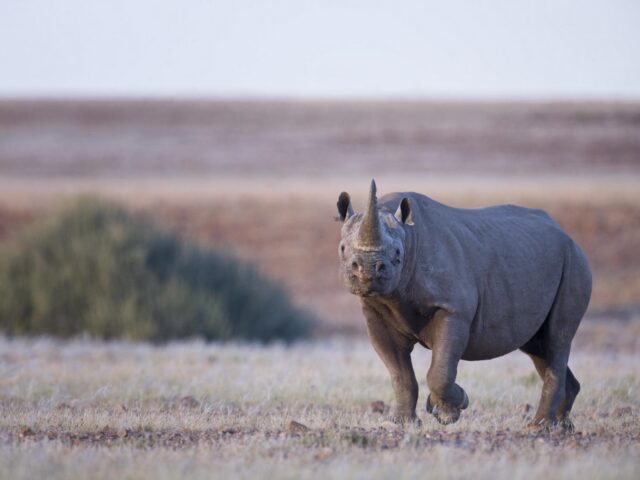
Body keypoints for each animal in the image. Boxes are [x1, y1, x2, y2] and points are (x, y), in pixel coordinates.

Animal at [338, 182, 592, 430]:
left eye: (398, 253)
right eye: (342, 248)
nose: (367, 270)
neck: (409, 236)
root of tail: (567, 235)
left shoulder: (453, 309)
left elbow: (440, 371)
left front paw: (450, 410)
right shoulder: (375, 311)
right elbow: (399, 372)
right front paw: (399, 424)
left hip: (574, 262)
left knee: (557, 339)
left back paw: (540, 427)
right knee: (539, 346)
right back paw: (562, 426)